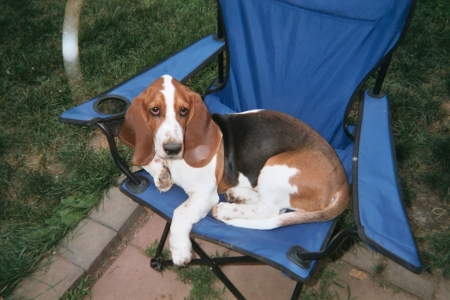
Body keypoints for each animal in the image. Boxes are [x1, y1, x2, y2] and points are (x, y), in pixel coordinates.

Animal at [118, 76, 350, 266]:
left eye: (184, 111)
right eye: (154, 110)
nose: (173, 148)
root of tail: (342, 180)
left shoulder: (205, 195)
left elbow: (179, 212)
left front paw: (180, 251)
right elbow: (145, 160)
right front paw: (162, 175)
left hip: (275, 166)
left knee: (270, 210)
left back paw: (226, 209)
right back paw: (237, 194)